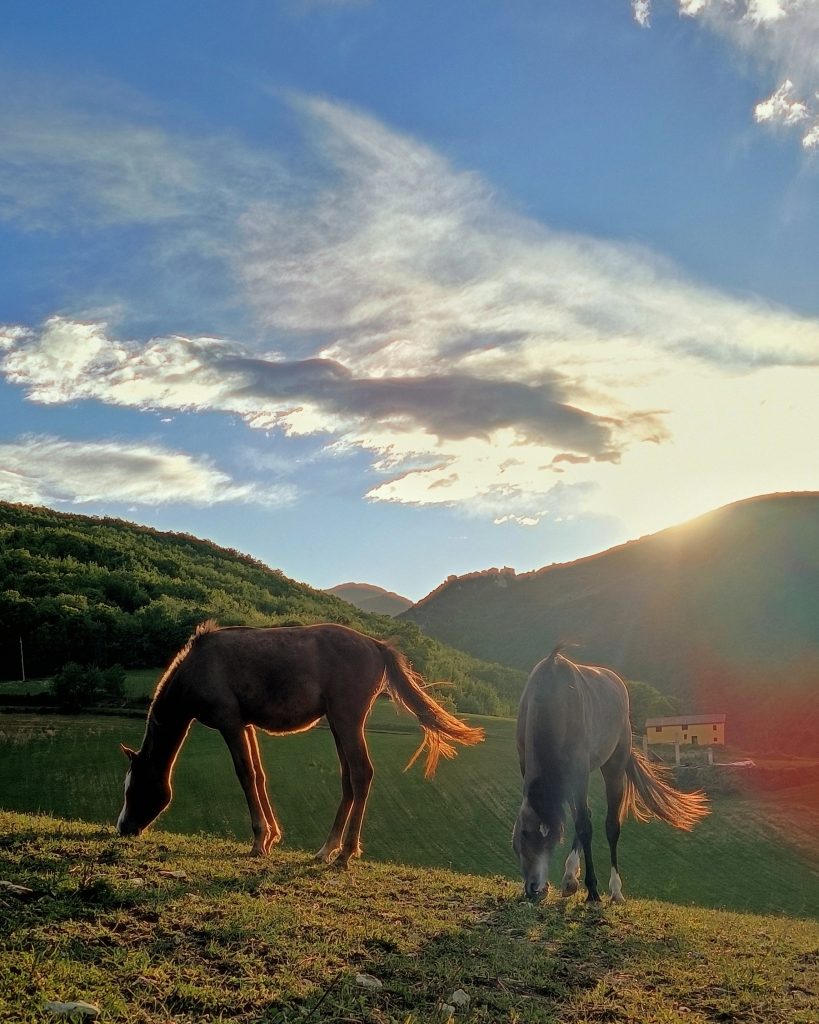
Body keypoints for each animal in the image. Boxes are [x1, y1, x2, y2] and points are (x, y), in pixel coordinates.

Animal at [118, 618, 483, 868]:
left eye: (132, 787)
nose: (123, 828)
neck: (198, 667)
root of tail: (376, 644)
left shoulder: (230, 724)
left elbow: (245, 775)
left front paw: (259, 840)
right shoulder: (246, 726)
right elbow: (259, 775)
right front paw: (272, 836)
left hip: (347, 720)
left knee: (361, 774)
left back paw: (346, 851)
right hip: (338, 724)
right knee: (349, 779)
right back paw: (328, 848)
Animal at [515, 647, 708, 905]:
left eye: (552, 838)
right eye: (522, 836)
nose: (535, 888)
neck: (552, 700)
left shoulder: (578, 773)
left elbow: (585, 826)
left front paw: (593, 891)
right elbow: (578, 819)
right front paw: (573, 880)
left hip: (614, 768)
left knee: (610, 825)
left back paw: (615, 890)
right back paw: (570, 877)